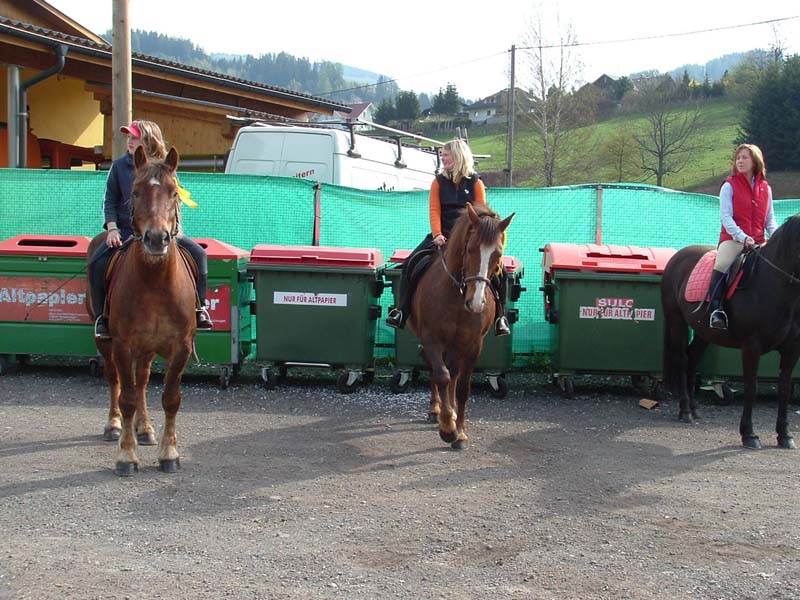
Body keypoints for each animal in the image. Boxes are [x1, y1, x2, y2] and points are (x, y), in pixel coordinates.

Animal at [86, 146, 197, 475]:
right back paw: (114, 426)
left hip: (147, 349)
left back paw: (145, 428)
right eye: (135, 192)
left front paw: (169, 453)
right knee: (115, 380)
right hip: (106, 342)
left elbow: (170, 398)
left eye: (174, 192)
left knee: (142, 380)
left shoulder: (181, 347)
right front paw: (126, 456)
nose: (156, 238)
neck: (156, 283)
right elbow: (127, 399)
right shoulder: (122, 345)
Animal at [408, 202, 514, 450]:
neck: (456, 296)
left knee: (454, 374)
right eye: (470, 249)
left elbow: (463, 387)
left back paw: (453, 413)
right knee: (438, 371)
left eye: (498, 254)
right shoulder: (431, 339)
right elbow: (441, 375)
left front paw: (461, 432)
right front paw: (447, 428)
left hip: (457, 345)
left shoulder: (473, 344)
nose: (475, 303)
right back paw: (436, 410)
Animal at [661, 214, 800, 449]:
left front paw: (785, 435)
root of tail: (677, 256)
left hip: (704, 332)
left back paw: (694, 409)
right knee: (682, 359)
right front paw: (749, 434)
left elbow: (784, 390)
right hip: (676, 322)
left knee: (692, 358)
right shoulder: (752, 347)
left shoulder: (791, 349)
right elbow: (751, 388)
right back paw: (686, 410)